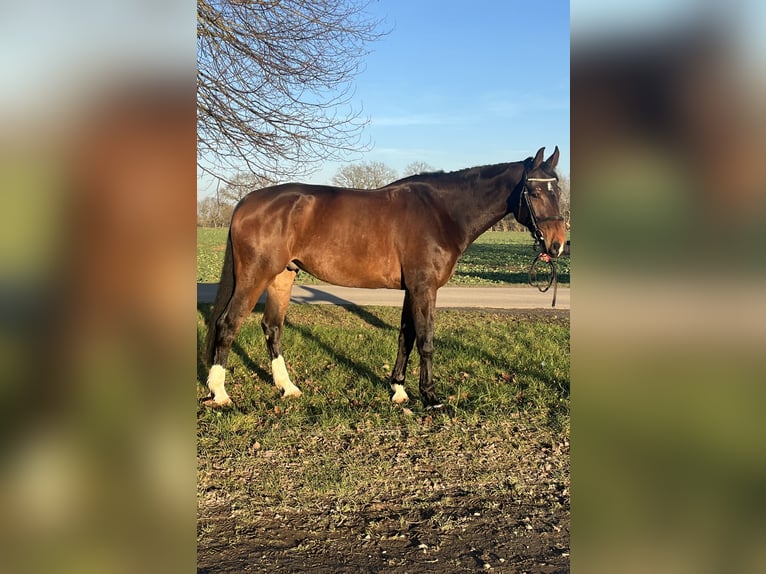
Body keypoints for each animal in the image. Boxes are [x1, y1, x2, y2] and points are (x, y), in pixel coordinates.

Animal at [203, 147, 567, 409]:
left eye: (558, 192)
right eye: (534, 193)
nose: (557, 244)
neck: (441, 211)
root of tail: (247, 202)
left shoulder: (412, 289)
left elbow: (406, 337)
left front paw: (399, 391)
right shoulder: (424, 288)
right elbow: (426, 340)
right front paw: (431, 397)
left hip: (282, 277)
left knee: (272, 327)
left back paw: (288, 388)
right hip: (255, 275)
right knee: (228, 323)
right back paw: (220, 393)